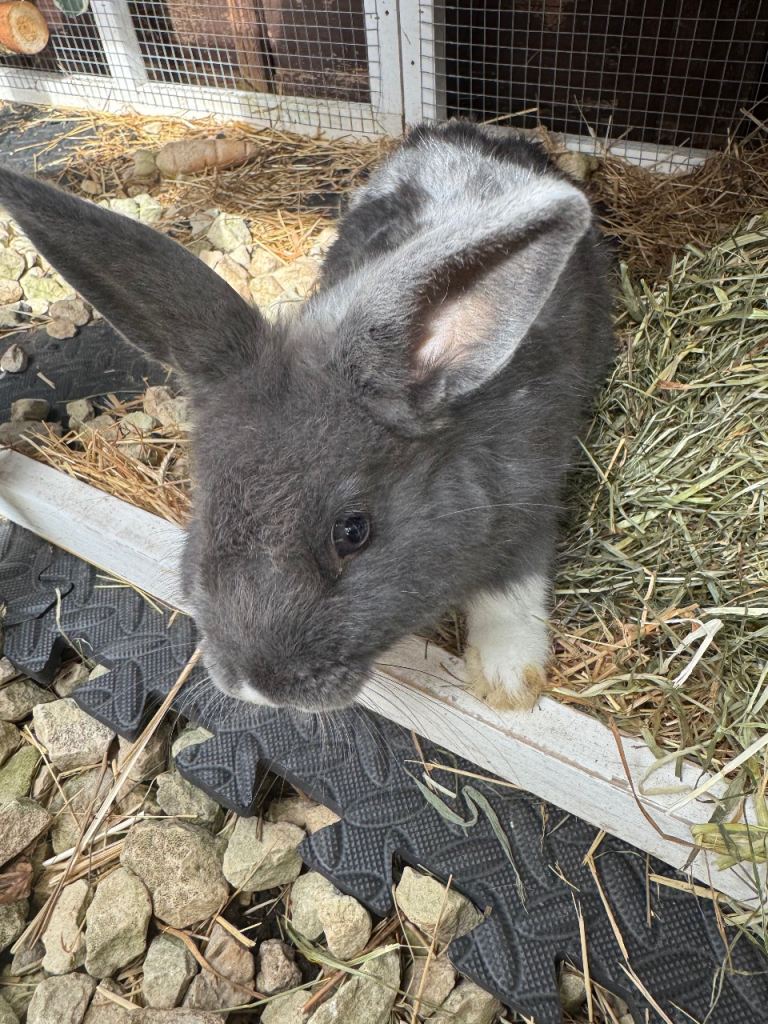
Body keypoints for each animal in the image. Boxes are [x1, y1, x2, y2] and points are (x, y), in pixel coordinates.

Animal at [0, 121, 614, 712]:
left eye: (353, 531)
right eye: (204, 508)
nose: (252, 687)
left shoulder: (534, 489)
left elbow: (513, 586)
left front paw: (508, 685)